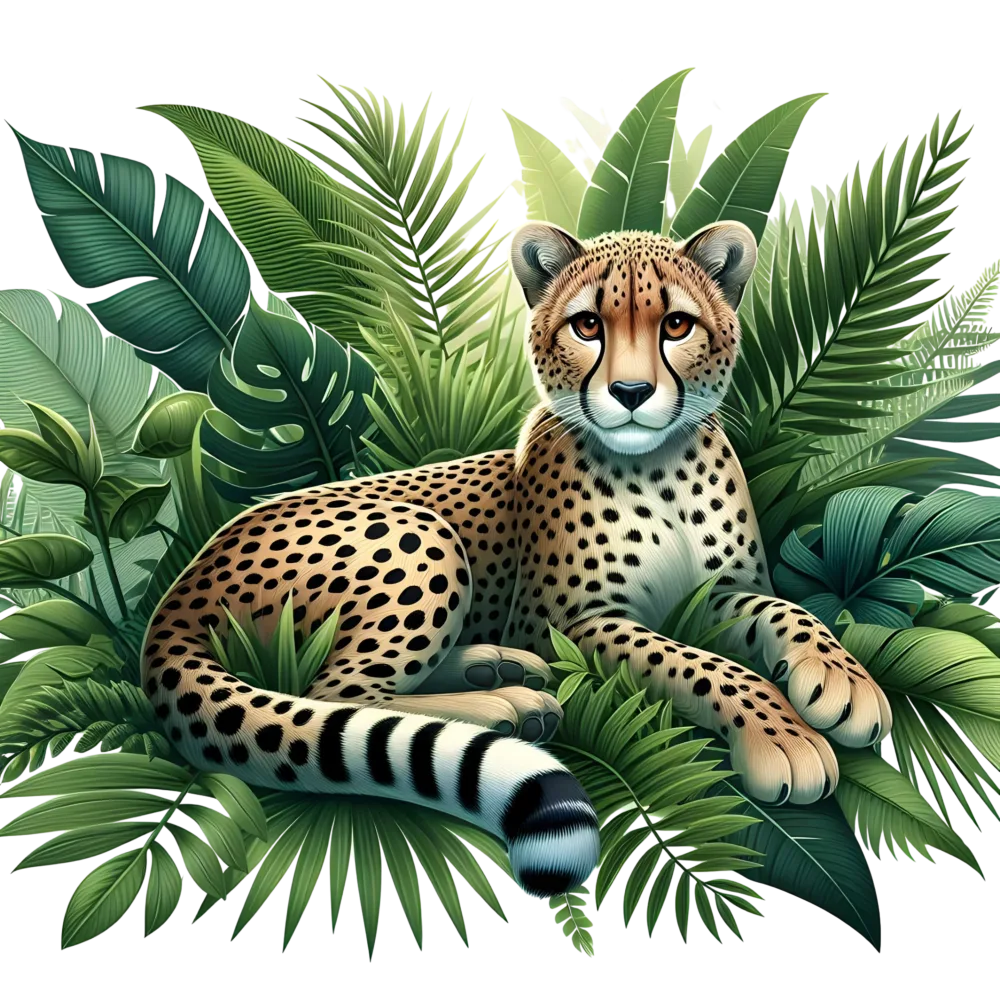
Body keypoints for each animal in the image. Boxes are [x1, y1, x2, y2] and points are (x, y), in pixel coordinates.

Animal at [142, 219, 893, 899]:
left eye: (677, 325)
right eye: (587, 325)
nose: (630, 394)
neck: (660, 467)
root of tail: (190, 577)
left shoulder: (718, 595)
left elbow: (789, 612)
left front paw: (843, 679)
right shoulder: (568, 623)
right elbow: (700, 664)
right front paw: (782, 737)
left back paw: (496, 667)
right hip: (422, 536)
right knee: (335, 693)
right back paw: (504, 705)